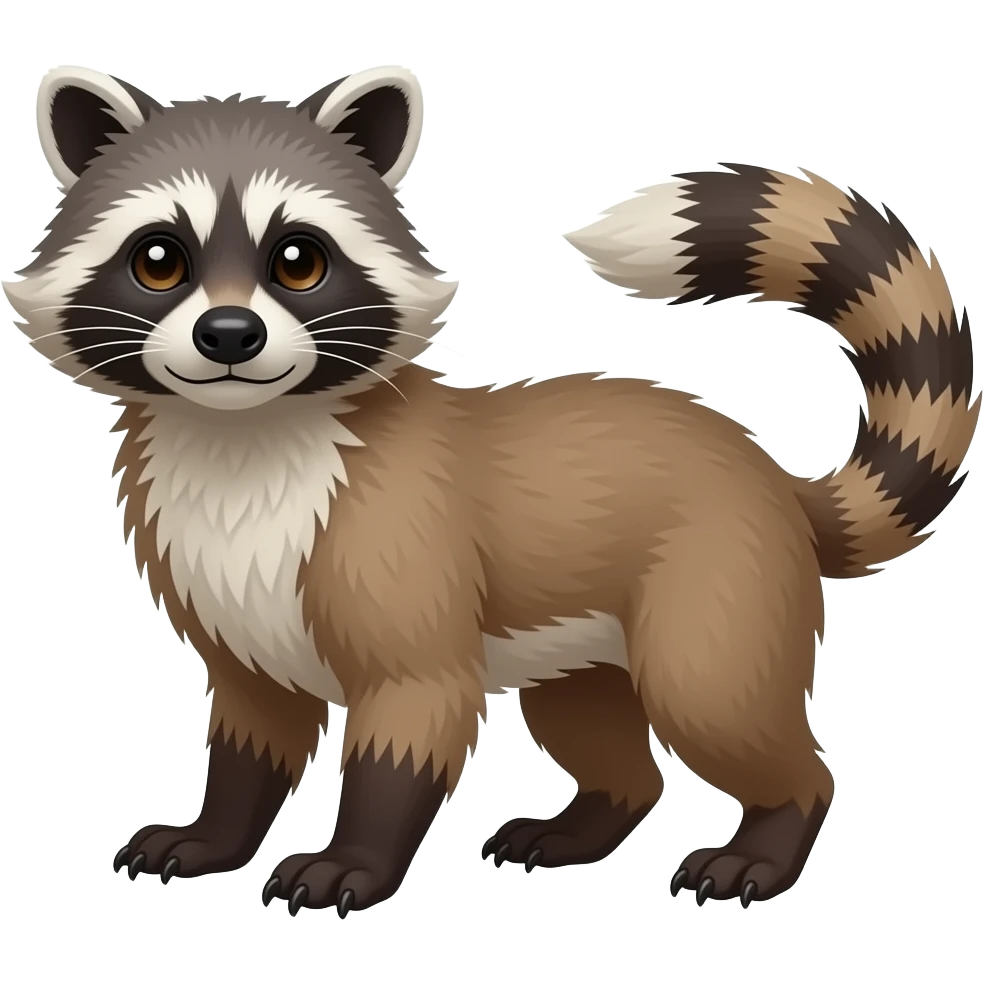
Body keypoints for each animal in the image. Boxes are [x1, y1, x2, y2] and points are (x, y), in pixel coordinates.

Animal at [6, 65, 980, 917]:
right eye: (158, 259)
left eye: (299, 260)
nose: (230, 334)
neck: (242, 443)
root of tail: (769, 475)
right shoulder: (232, 606)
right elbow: (252, 731)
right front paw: (215, 836)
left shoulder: (402, 550)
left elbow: (410, 714)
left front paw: (354, 858)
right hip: (585, 642)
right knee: (605, 739)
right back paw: (584, 825)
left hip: (716, 587)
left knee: (722, 703)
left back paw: (769, 839)